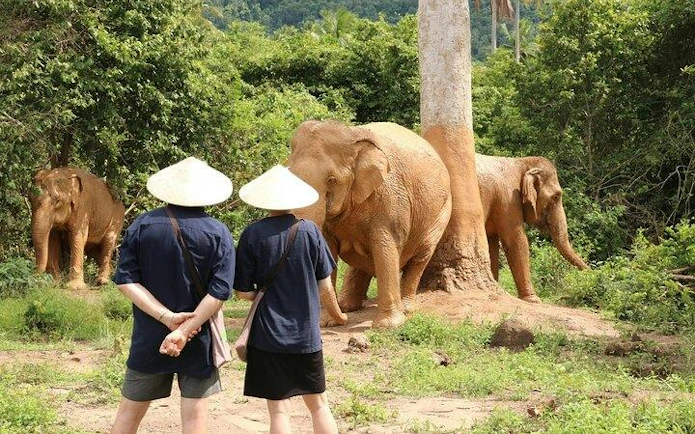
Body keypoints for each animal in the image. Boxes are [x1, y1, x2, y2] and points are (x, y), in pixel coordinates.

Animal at [288, 120, 452, 328]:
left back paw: (405, 309)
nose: (344, 320)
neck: (353, 137)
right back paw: (347, 306)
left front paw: (387, 326)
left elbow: (385, 248)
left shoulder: (390, 201)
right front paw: (325, 323)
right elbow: (327, 250)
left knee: (419, 259)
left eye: (332, 180)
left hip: (440, 215)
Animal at [476, 154, 589, 302]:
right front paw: (533, 299)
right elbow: (516, 240)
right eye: (556, 196)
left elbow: (492, 244)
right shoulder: (509, 199)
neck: (521, 162)